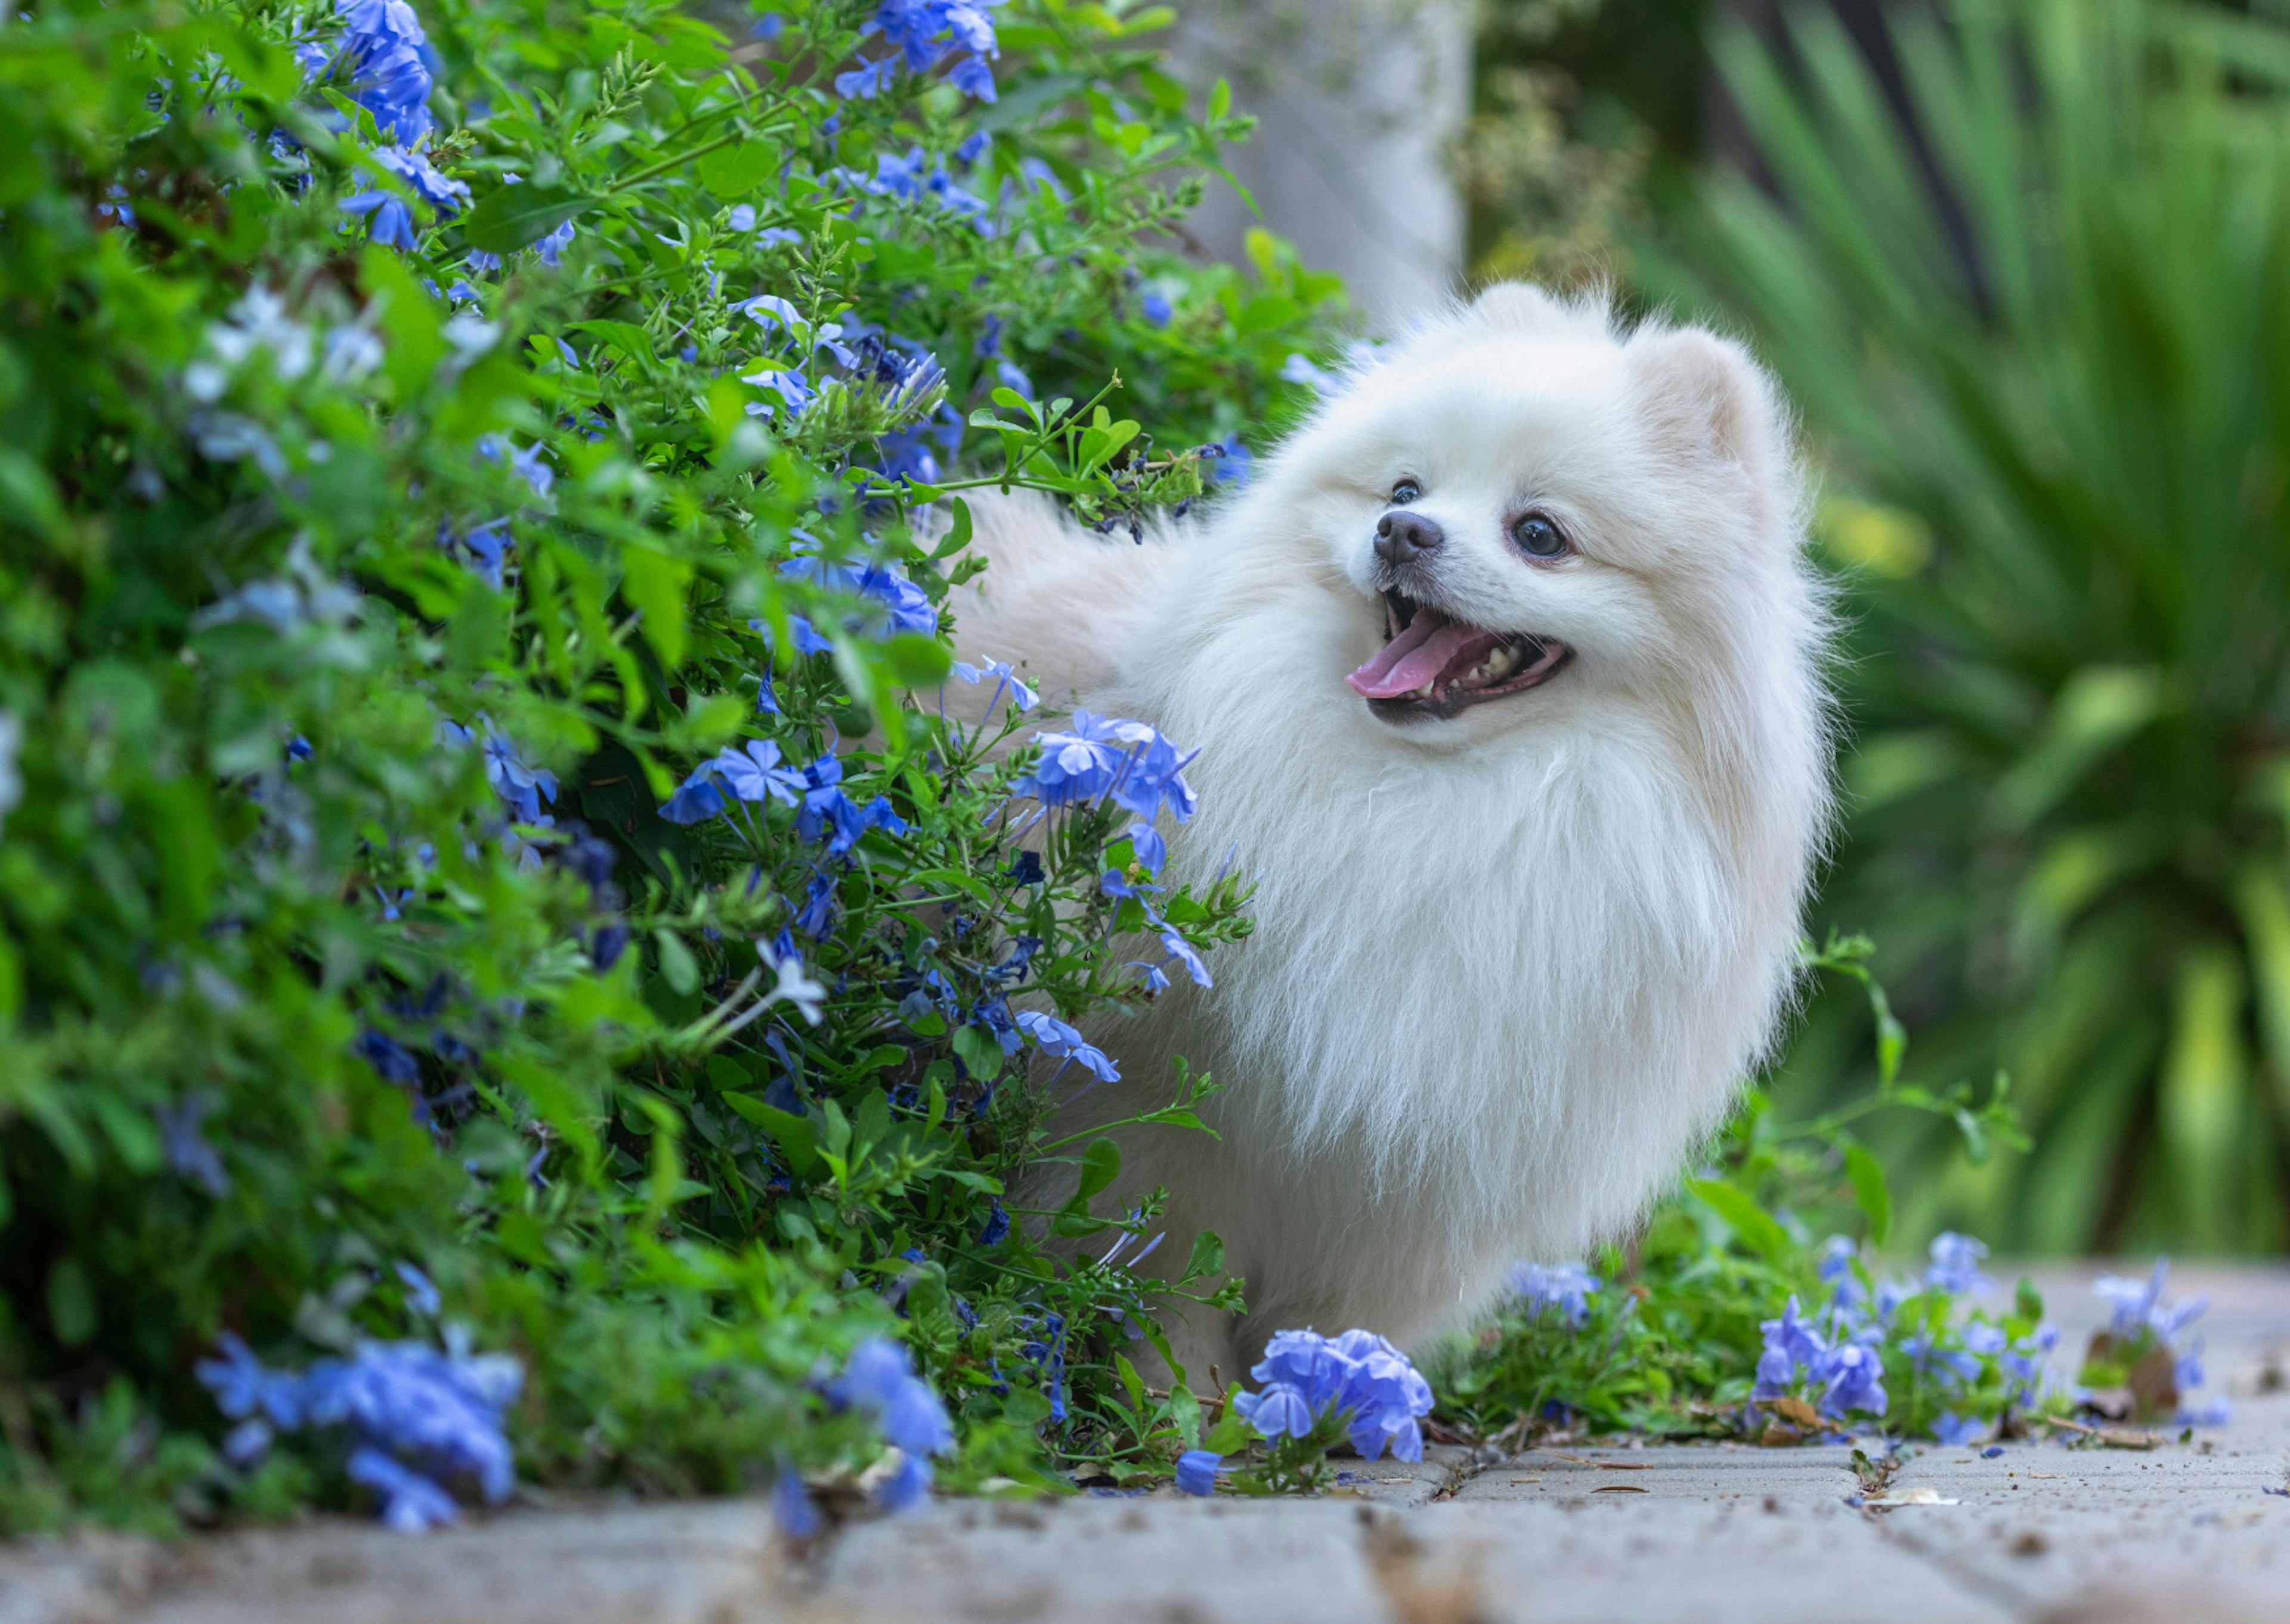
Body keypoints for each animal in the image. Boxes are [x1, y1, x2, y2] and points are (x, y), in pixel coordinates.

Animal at [943, 285, 1822, 1374]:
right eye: (1403, 486)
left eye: (1540, 533)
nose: (1404, 531)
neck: (1431, 806)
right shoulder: (1156, 1118)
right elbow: (1165, 1288)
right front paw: (1175, 1397)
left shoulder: (1410, 1200)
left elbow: (1333, 1323)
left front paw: (1323, 1389)